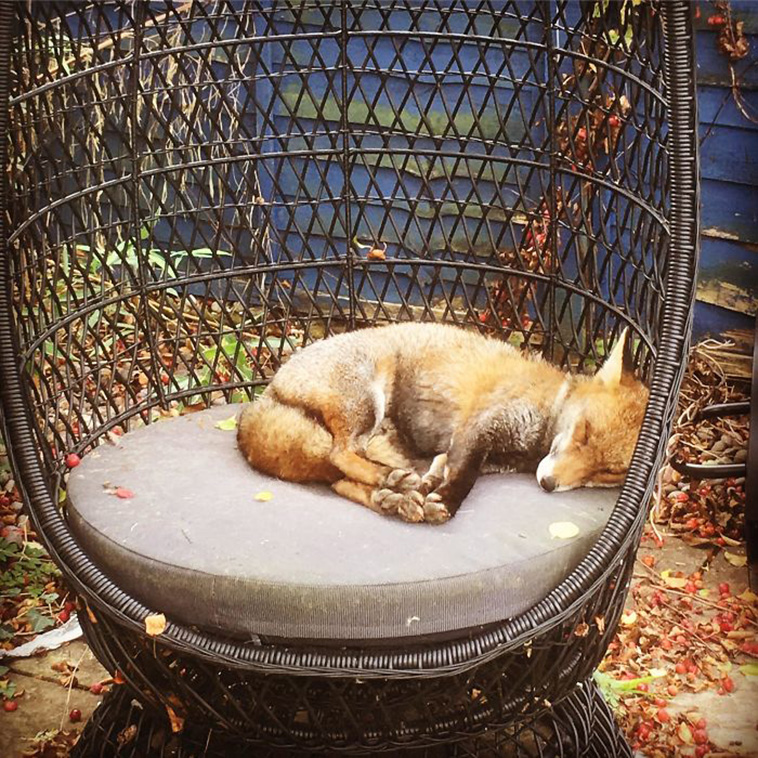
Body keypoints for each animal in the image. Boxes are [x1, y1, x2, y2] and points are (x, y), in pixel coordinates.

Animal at [237, 322, 648, 525]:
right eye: (584, 432)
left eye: (608, 471)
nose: (548, 484)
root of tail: (266, 395)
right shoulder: (480, 426)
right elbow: (464, 477)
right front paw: (446, 504)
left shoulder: (483, 454)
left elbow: (444, 468)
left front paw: (430, 488)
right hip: (365, 404)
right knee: (341, 454)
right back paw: (389, 482)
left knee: (338, 479)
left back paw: (391, 497)